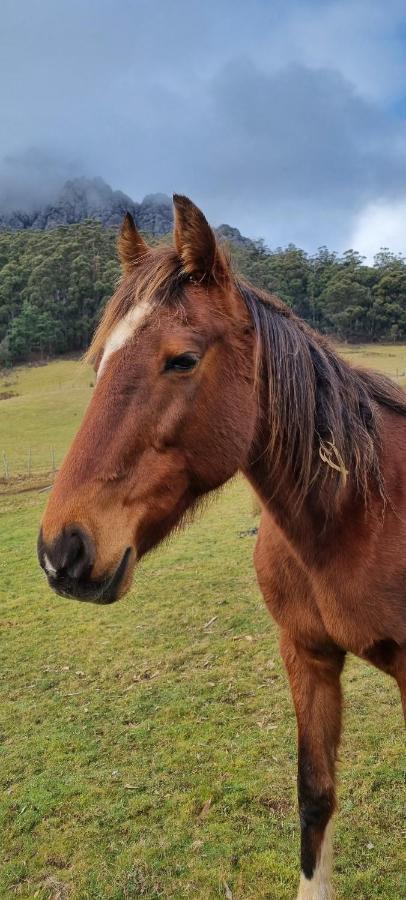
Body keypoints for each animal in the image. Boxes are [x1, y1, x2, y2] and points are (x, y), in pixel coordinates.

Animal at [38, 199, 406, 900]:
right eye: (99, 364)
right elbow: (315, 796)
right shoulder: (307, 656)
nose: (60, 550)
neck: (359, 514)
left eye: (182, 360)